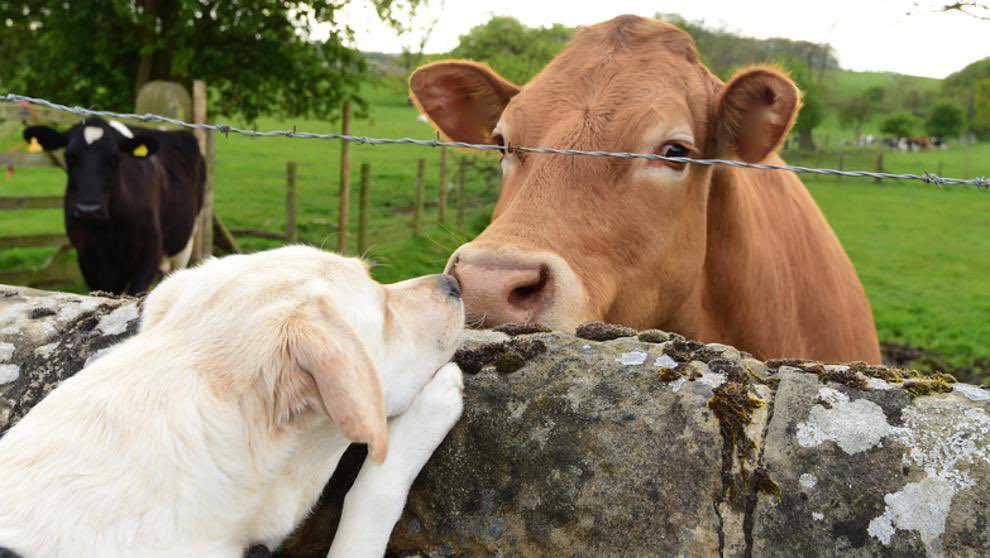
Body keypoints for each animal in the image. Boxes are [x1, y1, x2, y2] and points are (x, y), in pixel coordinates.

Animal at [23, 118, 204, 295]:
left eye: (115, 159)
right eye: (69, 157)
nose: (88, 210)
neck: (108, 234)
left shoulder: (151, 248)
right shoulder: (86, 256)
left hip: (184, 242)